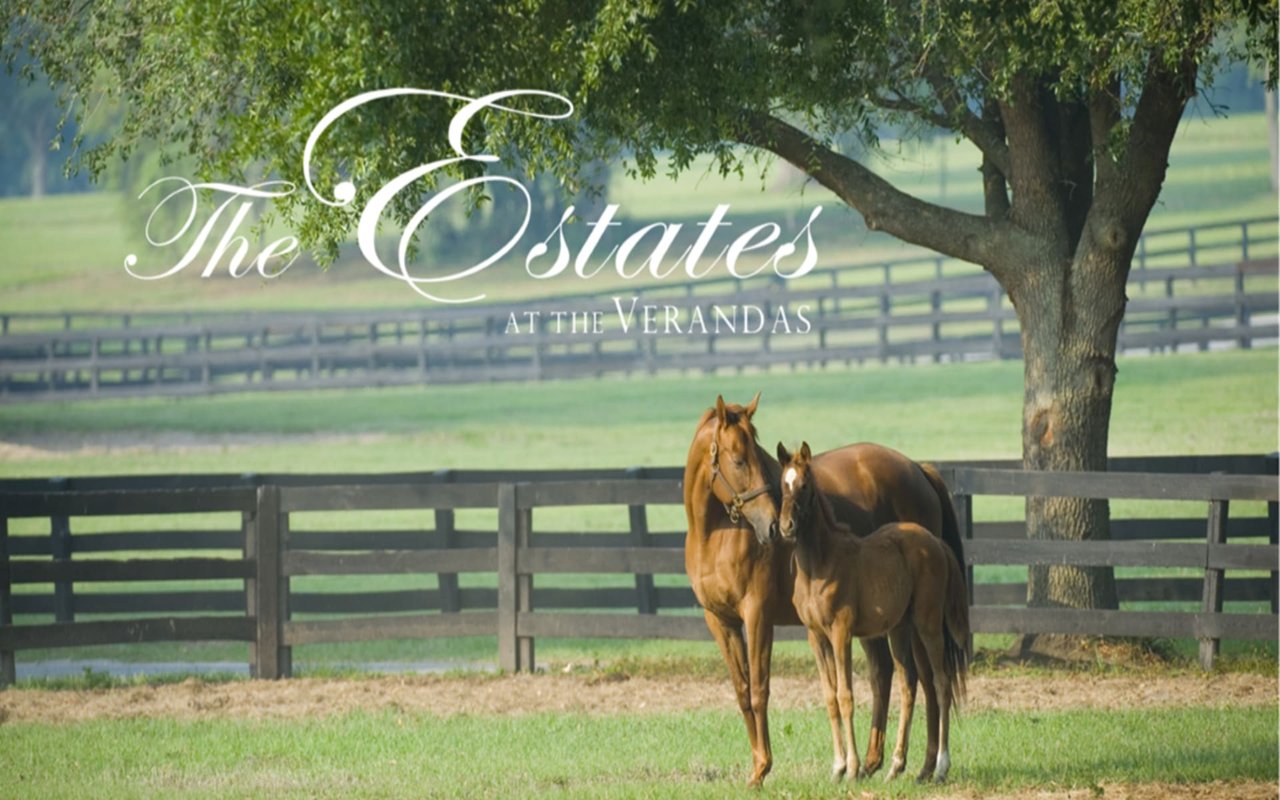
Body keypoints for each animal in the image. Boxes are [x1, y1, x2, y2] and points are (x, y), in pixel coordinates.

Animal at [686, 394, 962, 788]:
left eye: (758, 455)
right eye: (738, 460)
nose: (773, 526)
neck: (715, 534)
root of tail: (918, 469)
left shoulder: (757, 616)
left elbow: (759, 689)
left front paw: (763, 767)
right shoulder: (720, 621)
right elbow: (742, 691)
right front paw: (757, 766)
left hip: (918, 621)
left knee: (927, 679)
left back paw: (925, 765)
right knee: (888, 675)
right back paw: (890, 763)